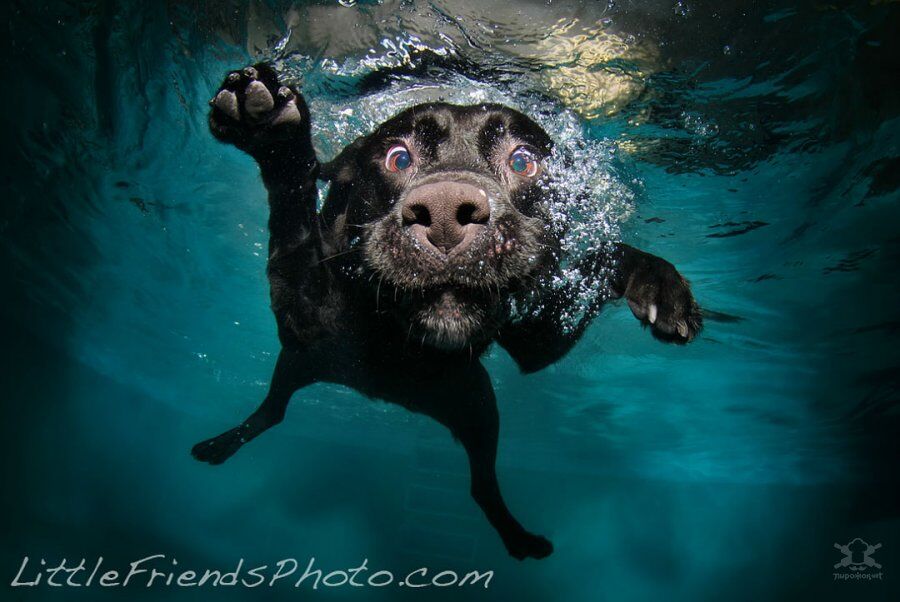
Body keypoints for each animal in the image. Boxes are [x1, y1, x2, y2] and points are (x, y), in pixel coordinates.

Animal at [192, 63, 704, 560]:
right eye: (398, 158)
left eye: (523, 160)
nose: (442, 213)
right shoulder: (304, 315)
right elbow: (293, 220)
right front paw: (272, 131)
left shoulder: (538, 340)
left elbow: (604, 256)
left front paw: (659, 283)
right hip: (299, 364)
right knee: (273, 412)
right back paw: (220, 445)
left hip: (477, 407)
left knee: (481, 485)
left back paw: (519, 539)